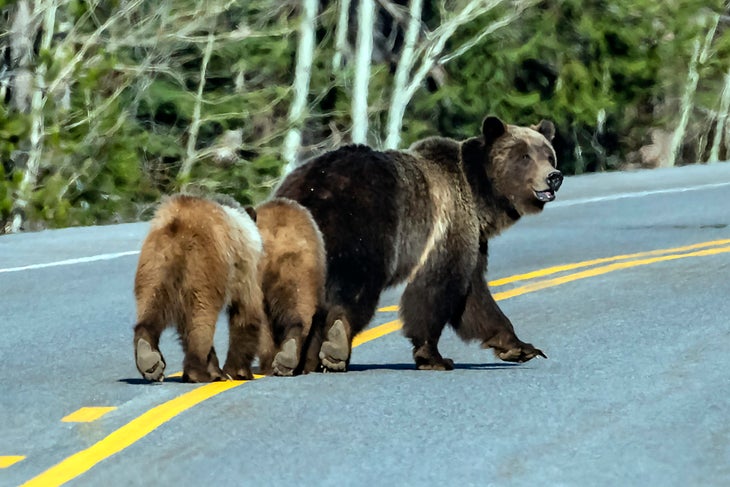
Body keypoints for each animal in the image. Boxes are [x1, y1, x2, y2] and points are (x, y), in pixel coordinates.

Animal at [132, 195, 264, 386]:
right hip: (203, 269)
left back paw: (149, 360)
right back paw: (198, 373)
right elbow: (246, 311)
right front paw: (237, 371)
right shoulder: (244, 267)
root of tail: (179, 222)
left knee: (151, 309)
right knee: (201, 319)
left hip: (154, 267)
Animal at [274, 116, 564, 372]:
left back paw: (293, 356)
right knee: (355, 286)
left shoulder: (474, 241)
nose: (554, 176)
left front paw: (521, 347)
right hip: (363, 225)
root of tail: (313, 186)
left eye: (548, 155)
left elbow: (473, 297)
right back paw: (335, 346)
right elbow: (437, 289)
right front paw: (435, 357)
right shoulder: (448, 226)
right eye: (524, 156)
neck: (479, 198)